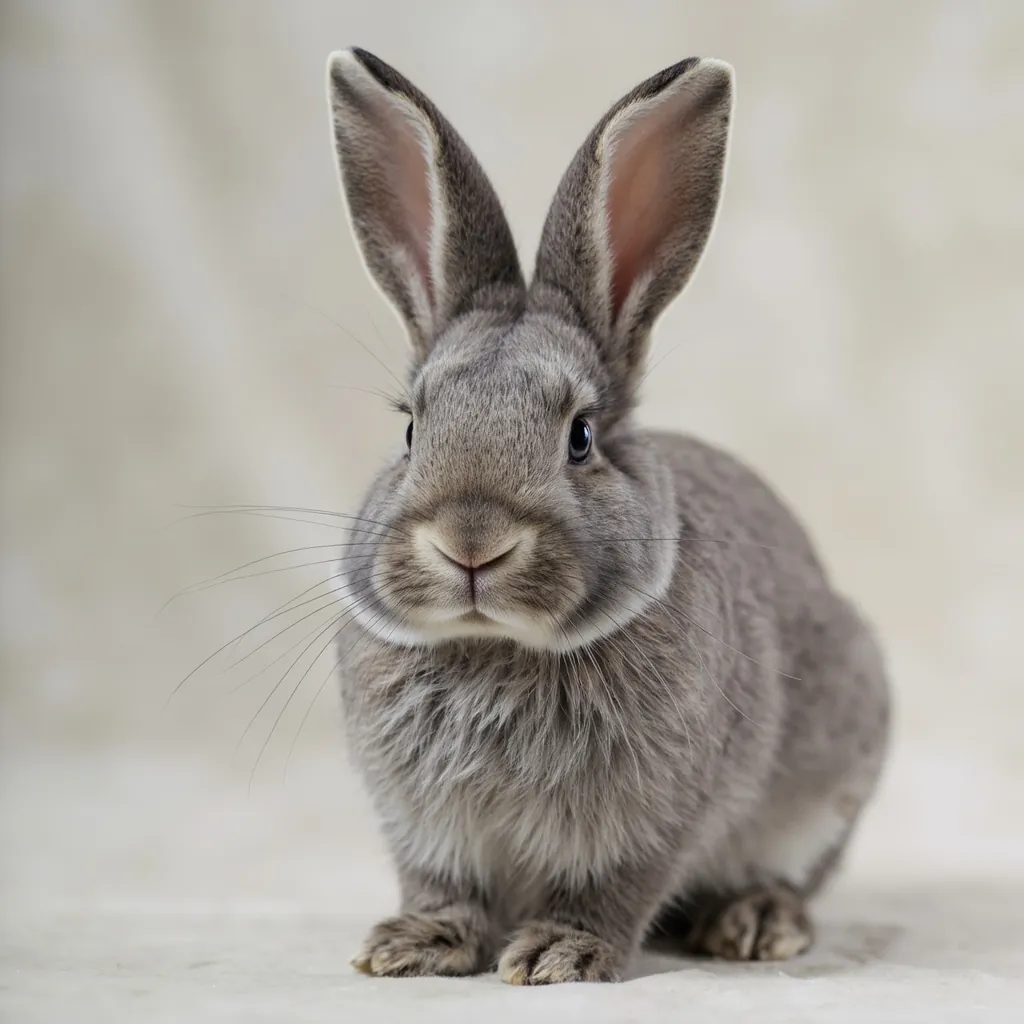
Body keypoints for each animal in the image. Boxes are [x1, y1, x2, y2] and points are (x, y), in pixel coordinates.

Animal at [325, 48, 890, 984]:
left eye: (580, 437)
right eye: (410, 429)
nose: (470, 544)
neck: (498, 648)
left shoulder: (651, 821)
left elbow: (613, 888)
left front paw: (560, 952)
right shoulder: (425, 825)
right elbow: (442, 885)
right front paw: (413, 945)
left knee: (793, 877)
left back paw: (754, 922)